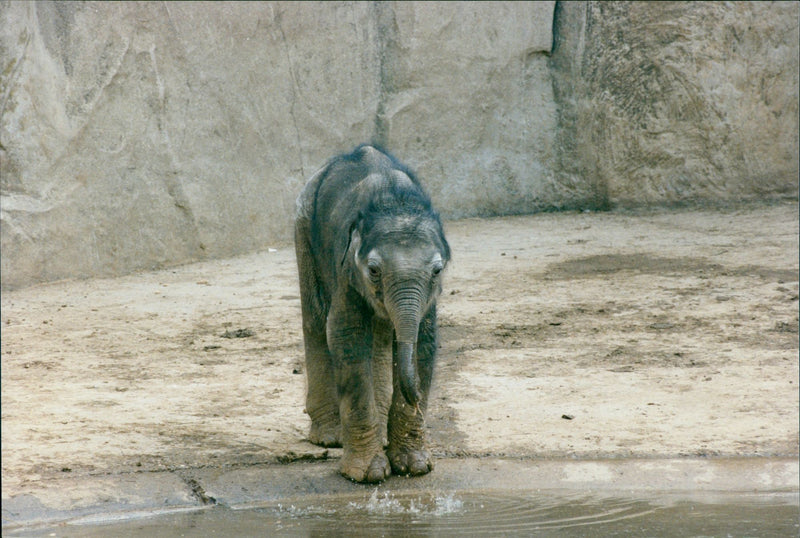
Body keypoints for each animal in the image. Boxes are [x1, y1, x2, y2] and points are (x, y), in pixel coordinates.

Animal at [294, 144, 450, 483]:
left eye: (437, 271)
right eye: (374, 270)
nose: (416, 398)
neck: (396, 201)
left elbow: (423, 343)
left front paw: (414, 467)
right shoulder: (347, 270)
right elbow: (346, 336)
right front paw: (368, 474)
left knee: (379, 334)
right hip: (303, 224)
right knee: (315, 320)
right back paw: (330, 436)